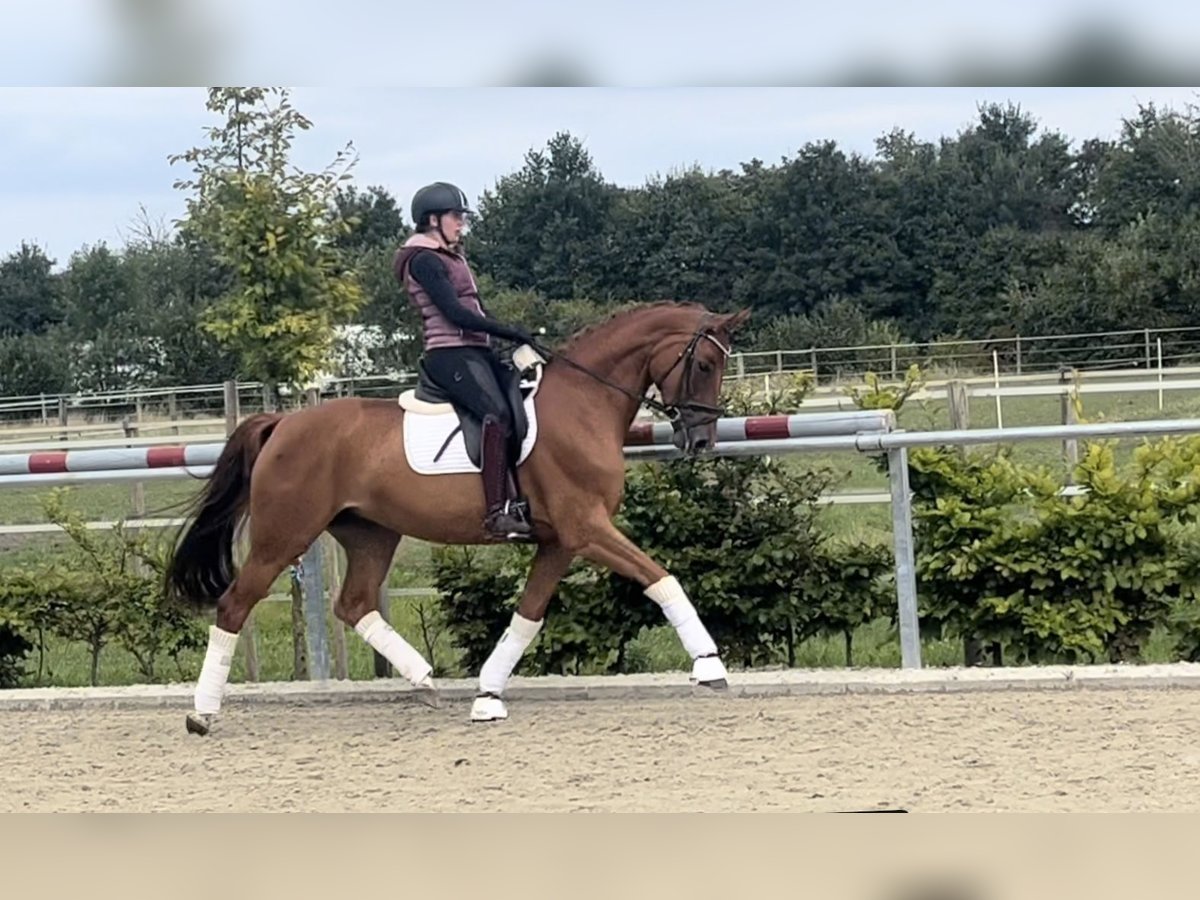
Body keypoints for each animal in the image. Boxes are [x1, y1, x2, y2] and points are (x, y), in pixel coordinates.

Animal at [164, 300, 748, 734]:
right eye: (703, 365)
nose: (701, 441)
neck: (583, 404)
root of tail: (283, 423)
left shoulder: (560, 541)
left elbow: (528, 615)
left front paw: (487, 694)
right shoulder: (587, 529)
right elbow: (661, 577)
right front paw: (709, 665)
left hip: (372, 534)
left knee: (354, 604)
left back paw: (424, 679)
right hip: (283, 535)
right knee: (235, 604)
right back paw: (202, 714)